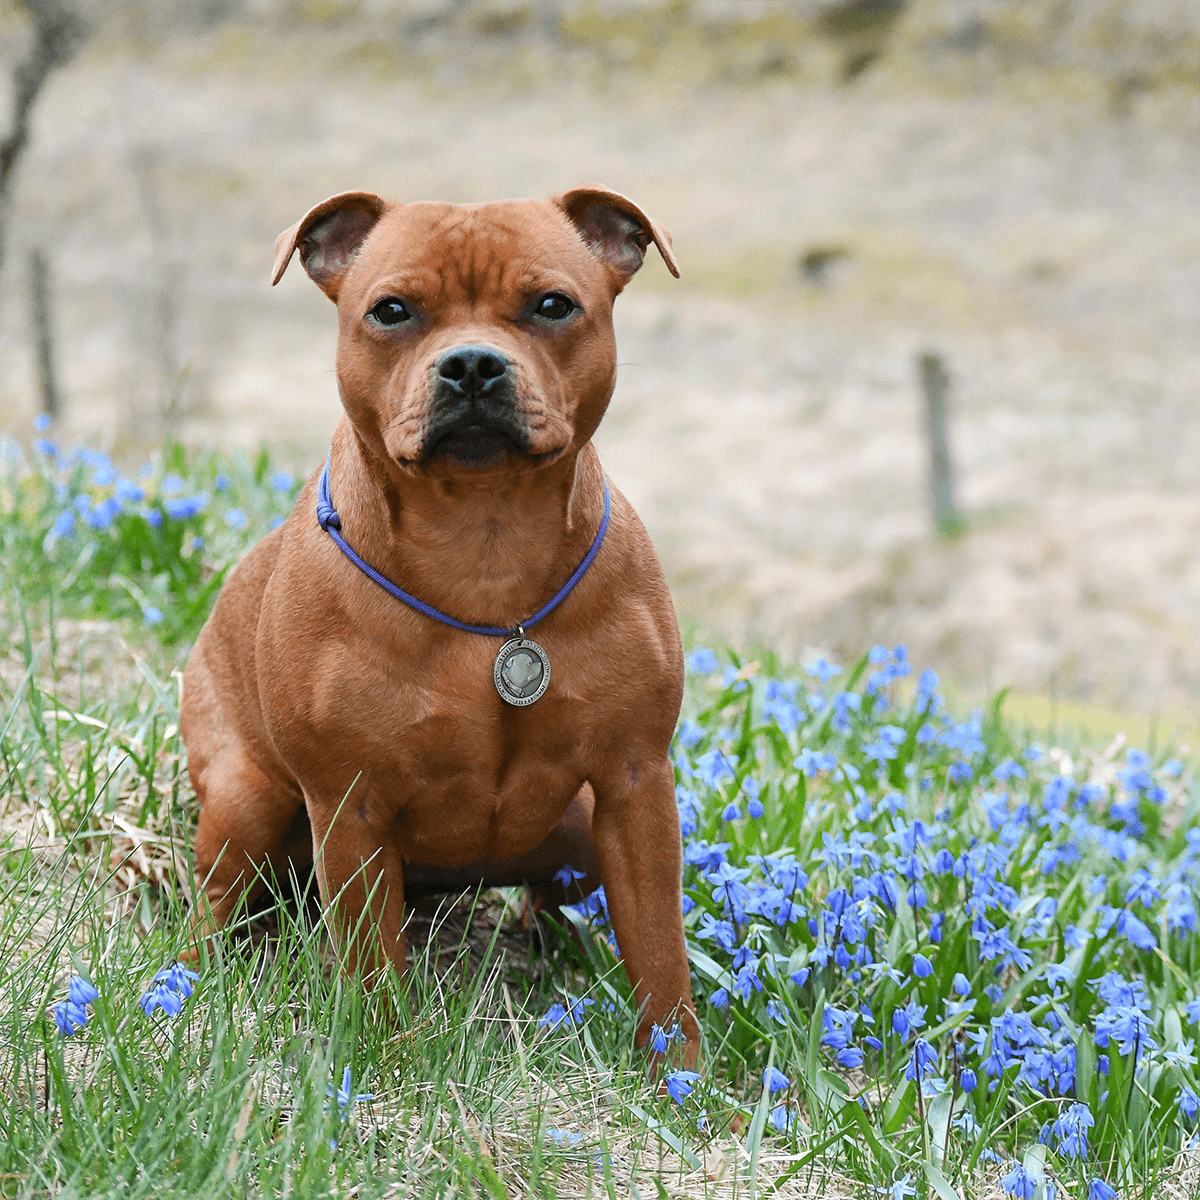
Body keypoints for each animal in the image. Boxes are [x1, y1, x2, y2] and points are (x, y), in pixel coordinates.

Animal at [182, 182, 700, 1065]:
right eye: (391, 311)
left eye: (554, 305)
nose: (472, 364)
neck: (484, 551)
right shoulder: (348, 807)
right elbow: (371, 964)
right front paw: (387, 1061)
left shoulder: (635, 785)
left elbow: (661, 952)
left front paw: (686, 1081)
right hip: (246, 802)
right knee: (212, 901)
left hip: (578, 832)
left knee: (554, 898)